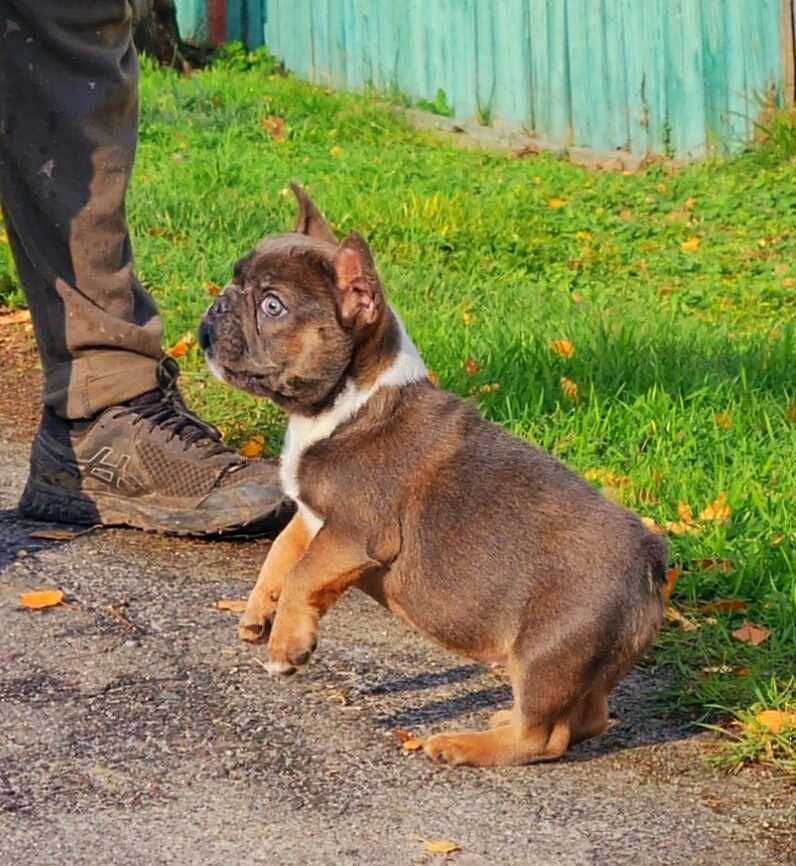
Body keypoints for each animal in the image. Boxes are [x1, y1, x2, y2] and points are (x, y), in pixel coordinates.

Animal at [199, 186, 664, 768]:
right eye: (236, 282)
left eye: (271, 305)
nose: (217, 306)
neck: (348, 401)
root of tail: (651, 562)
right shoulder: (311, 518)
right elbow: (281, 556)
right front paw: (259, 610)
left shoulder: (356, 533)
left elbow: (304, 573)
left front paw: (286, 647)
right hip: (582, 665)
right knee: (587, 719)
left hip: (548, 651)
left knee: (542, 736)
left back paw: (463, 744)